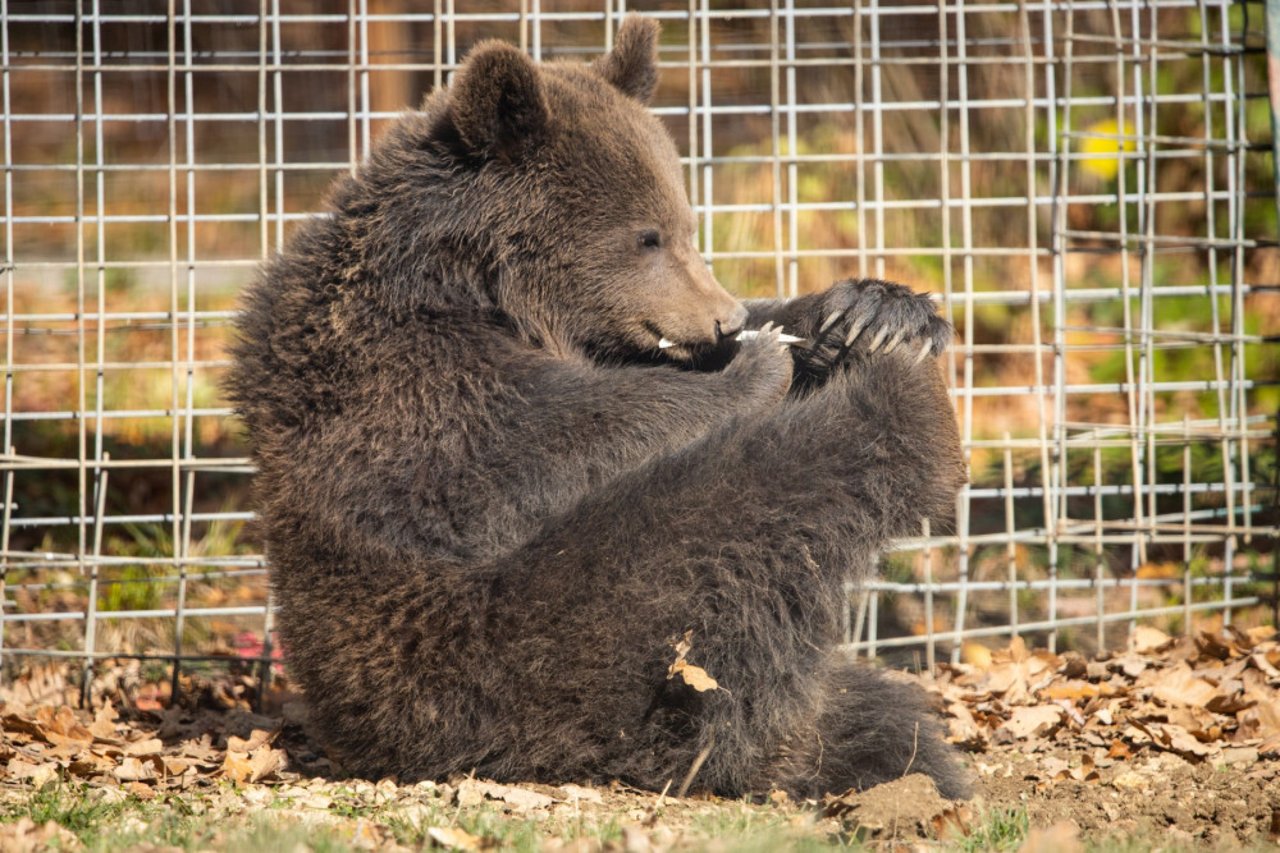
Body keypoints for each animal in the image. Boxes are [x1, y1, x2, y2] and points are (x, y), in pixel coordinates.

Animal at [227, 14, 967, 799]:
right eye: (647, 235)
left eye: (687, 223)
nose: (725, 319)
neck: (480, 286)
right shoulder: (400, 384)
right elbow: (540, 443)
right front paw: (760, 364)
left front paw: (870, 312)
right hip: (507, 659)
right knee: (728, 518)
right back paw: (904, 413)